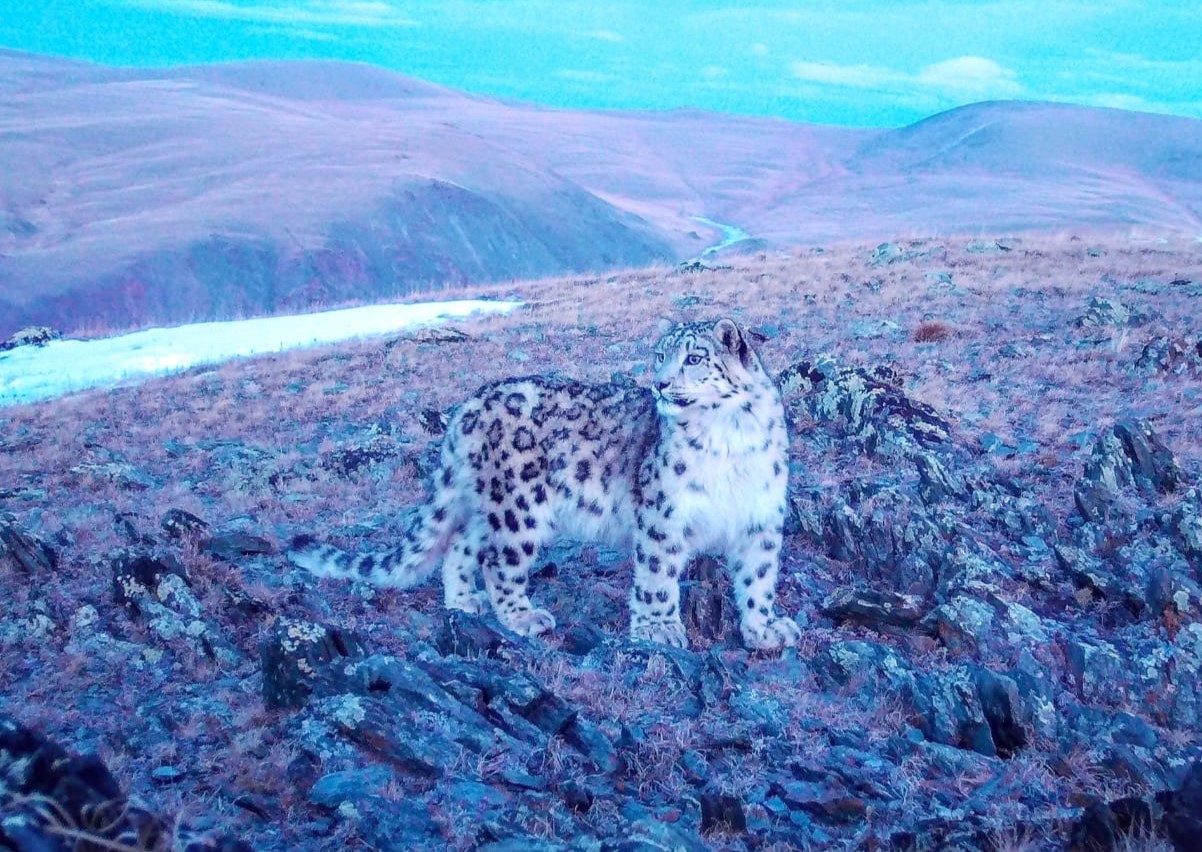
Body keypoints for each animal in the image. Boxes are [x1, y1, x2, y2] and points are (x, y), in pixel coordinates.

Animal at [287, 314, 802, 648]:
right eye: (660, 356)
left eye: (694, 357)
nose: (659, 383)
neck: (731, 437)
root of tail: (471, 404)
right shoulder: (664, 514)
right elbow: (657, 575)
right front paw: (658, 628)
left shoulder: (761, 518)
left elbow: (758, 578)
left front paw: (765, 630)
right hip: (518, 501)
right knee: (499, 561)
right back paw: (522, 616)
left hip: (490, 501)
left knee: (460, 545)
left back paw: (464, 602)